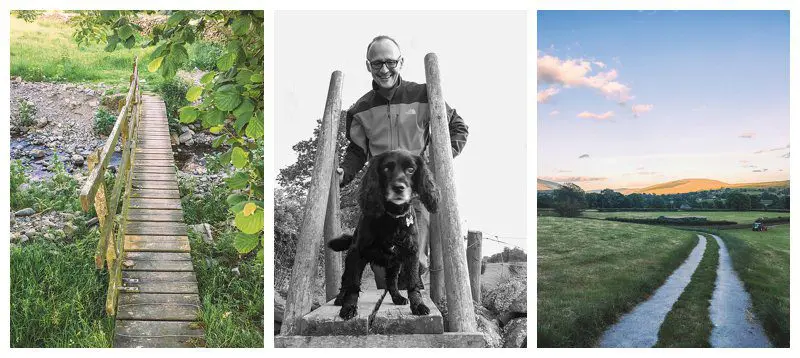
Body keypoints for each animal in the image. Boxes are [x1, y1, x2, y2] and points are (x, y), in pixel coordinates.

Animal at [324, 150, 438, 320]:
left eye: (411, 169)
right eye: (386, 168)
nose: (398, 188)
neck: (393, 217)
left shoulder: (411, 253)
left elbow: (412, 283)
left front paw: (418, 305)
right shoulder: (357, 253)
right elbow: (353, 285)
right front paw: (349, 307)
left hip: (394, 264)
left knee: (391, 282)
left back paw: (397, 297)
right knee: (346, 281)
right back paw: (339, 299)